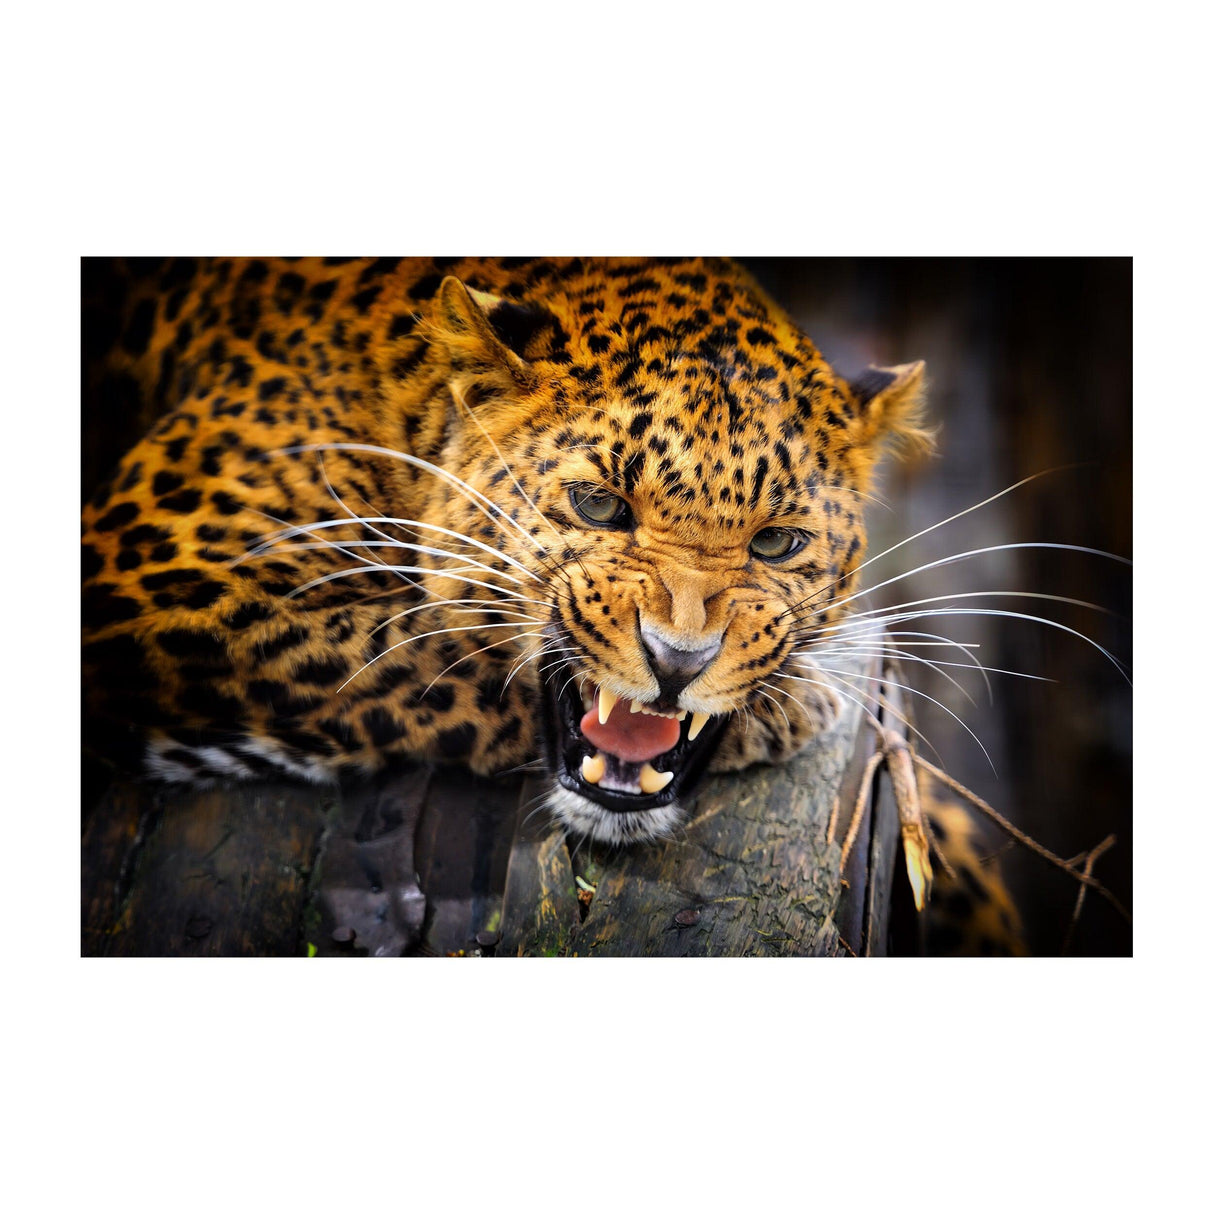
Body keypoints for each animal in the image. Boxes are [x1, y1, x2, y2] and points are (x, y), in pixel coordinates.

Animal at [81, 256, 1022, 952]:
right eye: (600, 506)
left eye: (778, 543)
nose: (679, 661)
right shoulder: (158, 577)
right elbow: (412, 653)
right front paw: (795, 708)